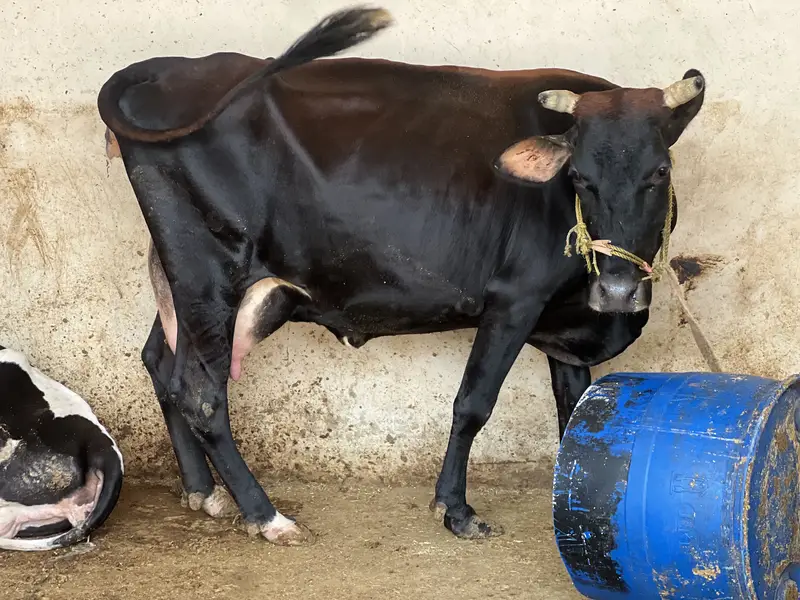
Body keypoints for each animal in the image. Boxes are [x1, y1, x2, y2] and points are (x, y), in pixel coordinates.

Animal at [97, 6, 705, 546]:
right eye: (578, 176)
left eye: (660, 171)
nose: (618, 290)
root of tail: (172, 67)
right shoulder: (516, 299)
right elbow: (473, 402)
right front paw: (455, 509)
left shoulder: (566, 318)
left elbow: (573, 408)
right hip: (208, 275)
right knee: (200, 393)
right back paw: (266, 516)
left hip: (190, 287)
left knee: (161, 364)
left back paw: (204, 492)